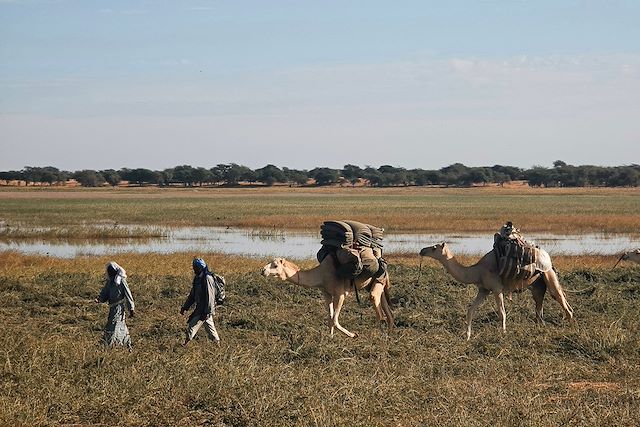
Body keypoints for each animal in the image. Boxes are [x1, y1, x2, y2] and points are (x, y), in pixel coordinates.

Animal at [261, 256, 394, 338]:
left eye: (275, 265)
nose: (262, 270)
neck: (321, 275)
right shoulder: (326, 294)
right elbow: (330, 318)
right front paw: (330, 337)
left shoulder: (340, 294)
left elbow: (334, 320)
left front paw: (353, 335)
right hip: (375, 284)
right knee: (388, 312)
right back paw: (389, 335)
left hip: (378, 279)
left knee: (378, 308)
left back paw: (376, 336)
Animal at [419, 243, 574, 340]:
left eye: (434, 248)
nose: (422, 250)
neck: (477, 271)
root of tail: (548, 257)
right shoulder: (484, 290)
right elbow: (470, 310)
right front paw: (467, 336)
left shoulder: (496, 288)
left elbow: (502, 313)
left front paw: (503, 333)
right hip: (537, 284)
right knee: (540, 307)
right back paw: (541, 329)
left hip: (547, 273)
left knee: (560, 299)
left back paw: (568, 327)